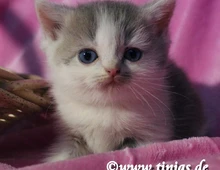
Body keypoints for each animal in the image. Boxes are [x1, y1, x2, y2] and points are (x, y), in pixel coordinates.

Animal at [35, 0, 205, 162]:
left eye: (132, 54)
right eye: (87, 56)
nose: (112, 69)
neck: (106, 107)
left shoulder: (153, 132)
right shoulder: (69, 132)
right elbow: (64, 155)